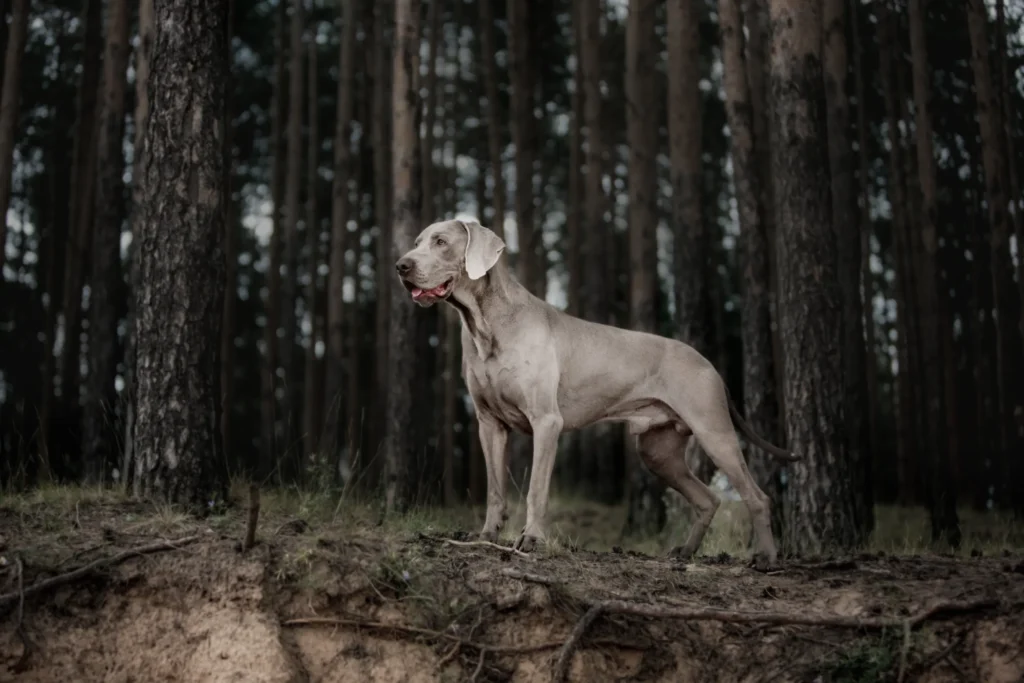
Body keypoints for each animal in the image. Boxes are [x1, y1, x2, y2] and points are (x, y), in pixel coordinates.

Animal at [393, 219, 798, 573]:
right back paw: (684, 551)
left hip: (714, 432)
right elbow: (495, 489)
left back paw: (766, 558)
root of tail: (710, 365)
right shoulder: (488, 424)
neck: (486, 324)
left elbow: (536, 489)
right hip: (658, 451)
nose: (401, 265)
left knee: (758, 497)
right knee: (707, 498)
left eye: (441, 242)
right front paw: (488, 535)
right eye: (417, 241)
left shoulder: (546, 422)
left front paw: (531, 539)